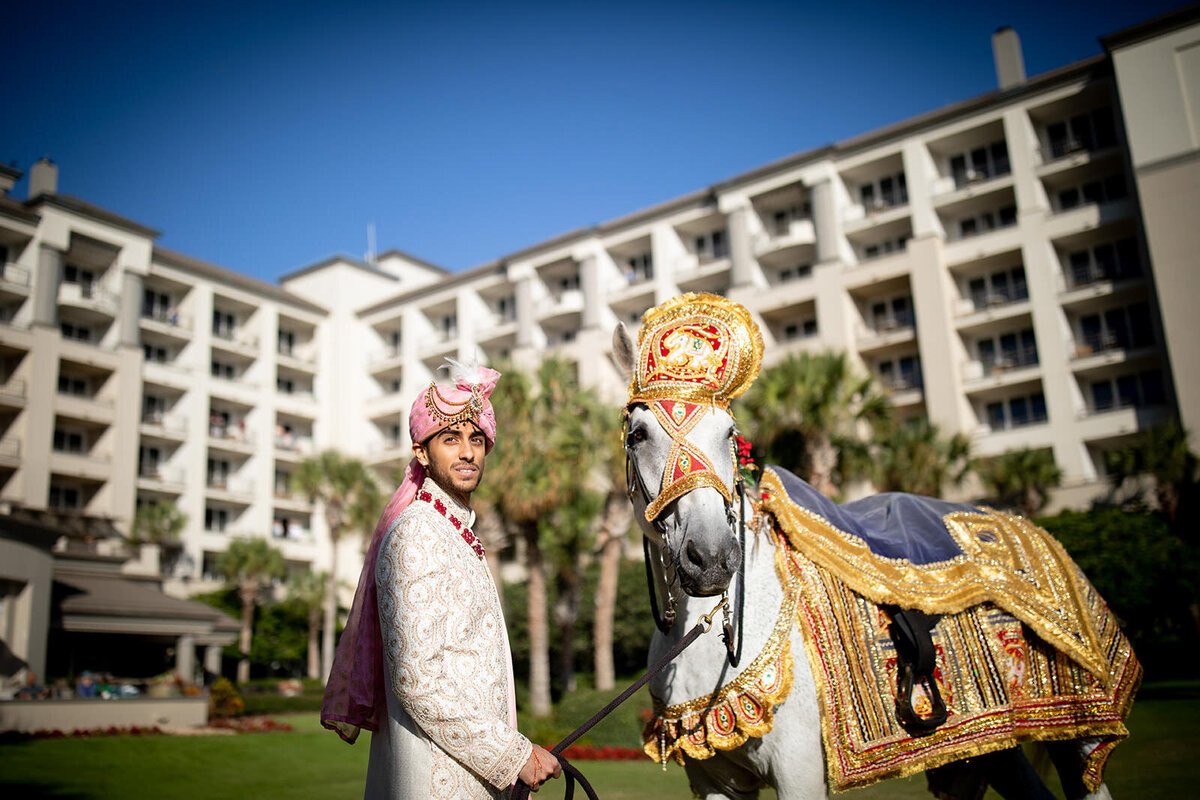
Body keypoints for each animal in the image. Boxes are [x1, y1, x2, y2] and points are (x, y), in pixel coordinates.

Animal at [619, 323, 1113, 800]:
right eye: (637, 435)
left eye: (728, 432)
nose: (711, 558)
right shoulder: (716, 783)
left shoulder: (799, 774)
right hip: (990, 749)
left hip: (1079, 731)